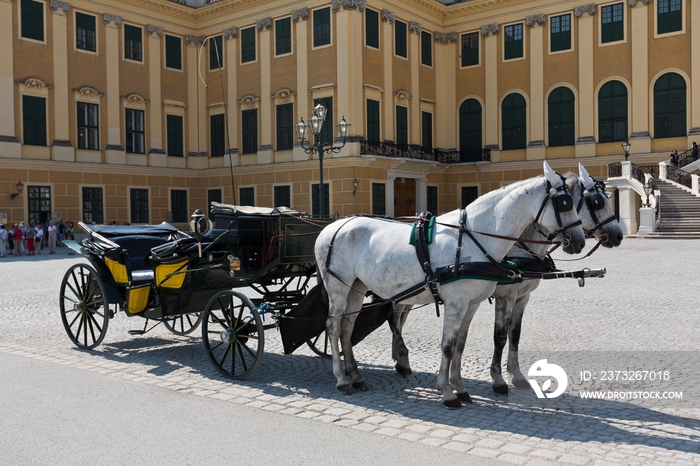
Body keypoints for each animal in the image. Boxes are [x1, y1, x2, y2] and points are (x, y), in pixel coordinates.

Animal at [316, 161, 584, 408]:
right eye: (566, 203)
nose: (579, 241)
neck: (473, 237)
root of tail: (331, 227)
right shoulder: (457, 303)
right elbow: (448, 345)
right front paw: (447, 391)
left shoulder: (472, 303)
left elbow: (460, 344)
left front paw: (460, 387)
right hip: (338, 288)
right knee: (333, 326)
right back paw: (341, 379)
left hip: (357, 287)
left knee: (347, 328)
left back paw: (356, 376)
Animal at [486, 164, 624, 394]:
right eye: (598, 202)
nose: (619, 235)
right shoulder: (506, 296)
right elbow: (500, 336)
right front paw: (497, 378)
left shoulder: (523, 297)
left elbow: (515, 333)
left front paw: (516, 374)